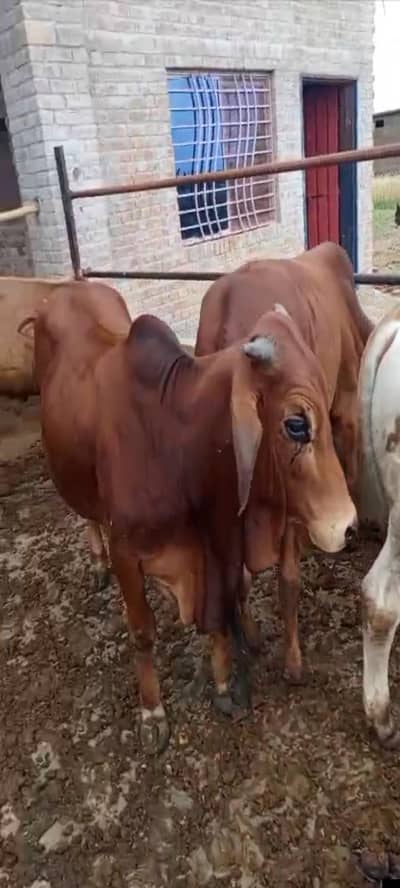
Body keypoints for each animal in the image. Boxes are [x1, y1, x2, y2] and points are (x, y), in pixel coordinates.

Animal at [24, 279, 356, 752]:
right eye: (296, 424)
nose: (347, 524)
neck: (175, 444)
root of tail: (66, 287)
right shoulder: (127, 551)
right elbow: (142, 631)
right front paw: (152, 713)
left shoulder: (216, 546)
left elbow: (217, 618)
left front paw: (223, 687)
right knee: (88, 515)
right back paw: (97, 564)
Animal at [195, 242, 370, 684]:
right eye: (295, 424)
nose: (346, 525)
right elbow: (238, 577)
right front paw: (253, 635)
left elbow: (287, 579)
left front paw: (291, 659)